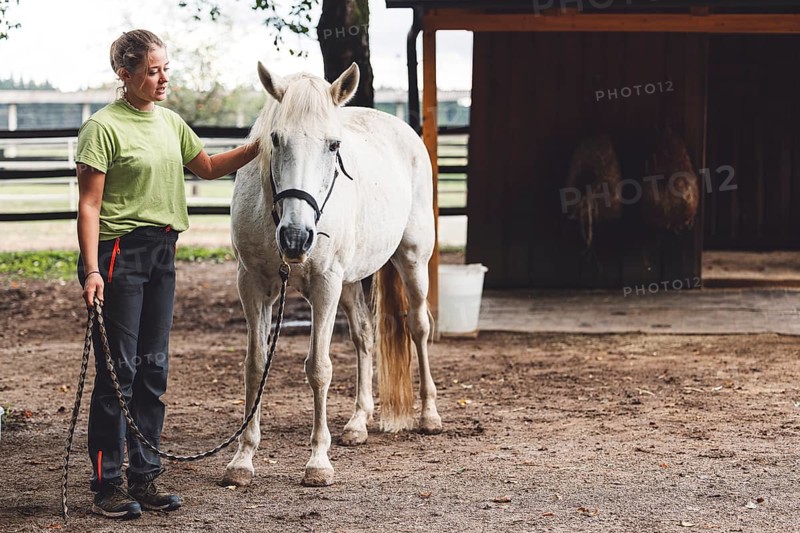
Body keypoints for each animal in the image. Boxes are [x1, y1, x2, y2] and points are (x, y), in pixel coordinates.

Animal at [221, 62, 442, 487]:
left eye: (334, 145)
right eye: (276, 138)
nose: (296, 236)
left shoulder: (325, 286)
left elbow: (319, 369)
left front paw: (317, 462)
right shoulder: (252, 285)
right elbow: (255, 366)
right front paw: (242, 459)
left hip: (412, 261)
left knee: (418, 327)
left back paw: (429, 415)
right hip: (352, 283)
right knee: (364, 337)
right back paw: (358, 422)